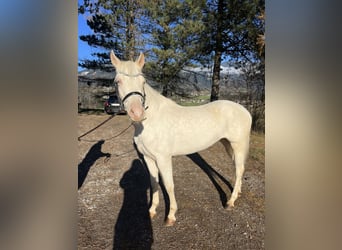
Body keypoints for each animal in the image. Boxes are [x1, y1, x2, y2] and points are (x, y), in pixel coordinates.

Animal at [111, 51, 252, 227]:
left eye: (143, 82)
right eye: (118, 81)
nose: (137, 113)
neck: (151, 120)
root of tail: (245, 111)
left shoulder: (163, 158)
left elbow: (169, 185)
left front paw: (171, 216)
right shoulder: (148, 158)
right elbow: (154, 182)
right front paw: (152, 211)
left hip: (238, 145)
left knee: (239, 170)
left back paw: (230, 202)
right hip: (229, 145)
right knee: (238, 168)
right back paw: (237, 193)